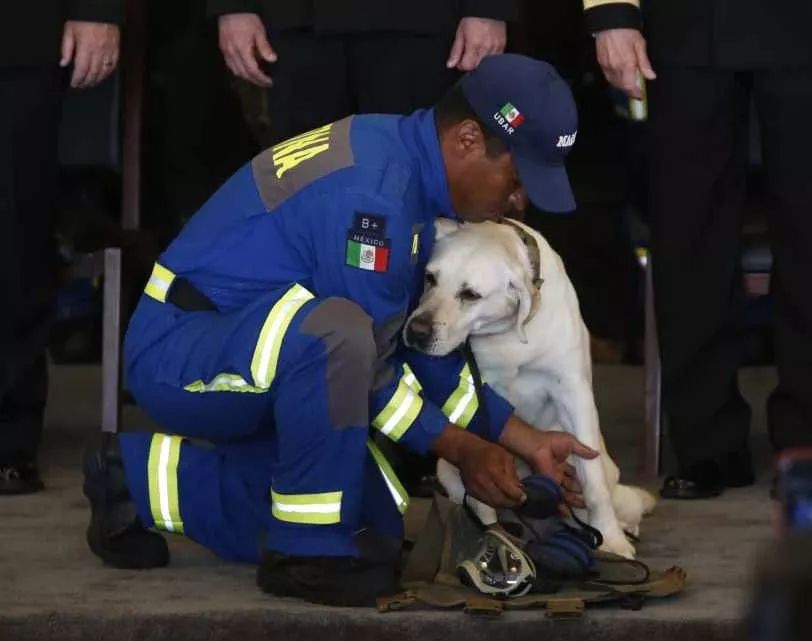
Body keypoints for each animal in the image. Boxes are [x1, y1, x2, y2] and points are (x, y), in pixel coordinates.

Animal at [404, 218, 652, 556]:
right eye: (430, 278)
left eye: (470, 294)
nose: (416, 332)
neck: (509, 332)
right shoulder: (478, 394)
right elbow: (482, 492)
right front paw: (487, 535)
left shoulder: (572, 391)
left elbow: (593, 483)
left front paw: (612, 541)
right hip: (446, 471)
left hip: (613, 480)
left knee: (625, 501)